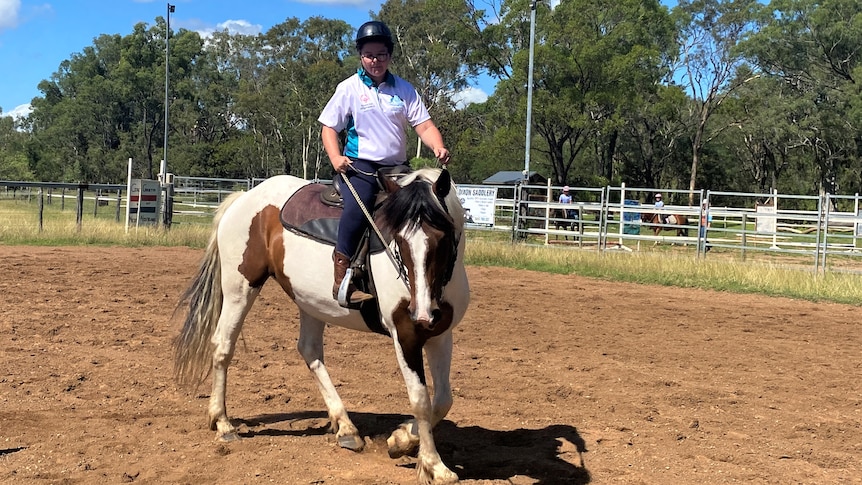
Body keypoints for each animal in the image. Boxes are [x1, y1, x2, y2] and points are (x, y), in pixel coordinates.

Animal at [175, 168, 470, 482]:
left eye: (442, 237)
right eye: (398, 240)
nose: (422, 312)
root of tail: (245, 198)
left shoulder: (441, 335)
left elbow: (443, 399)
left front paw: (401, 439)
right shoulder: (404, 334)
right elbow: (420, 400)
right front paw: (434, 465)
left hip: (309, 301)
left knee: (309, 350)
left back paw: (346, 427)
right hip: (239, 287)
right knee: (223, 346)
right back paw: (223, 423)